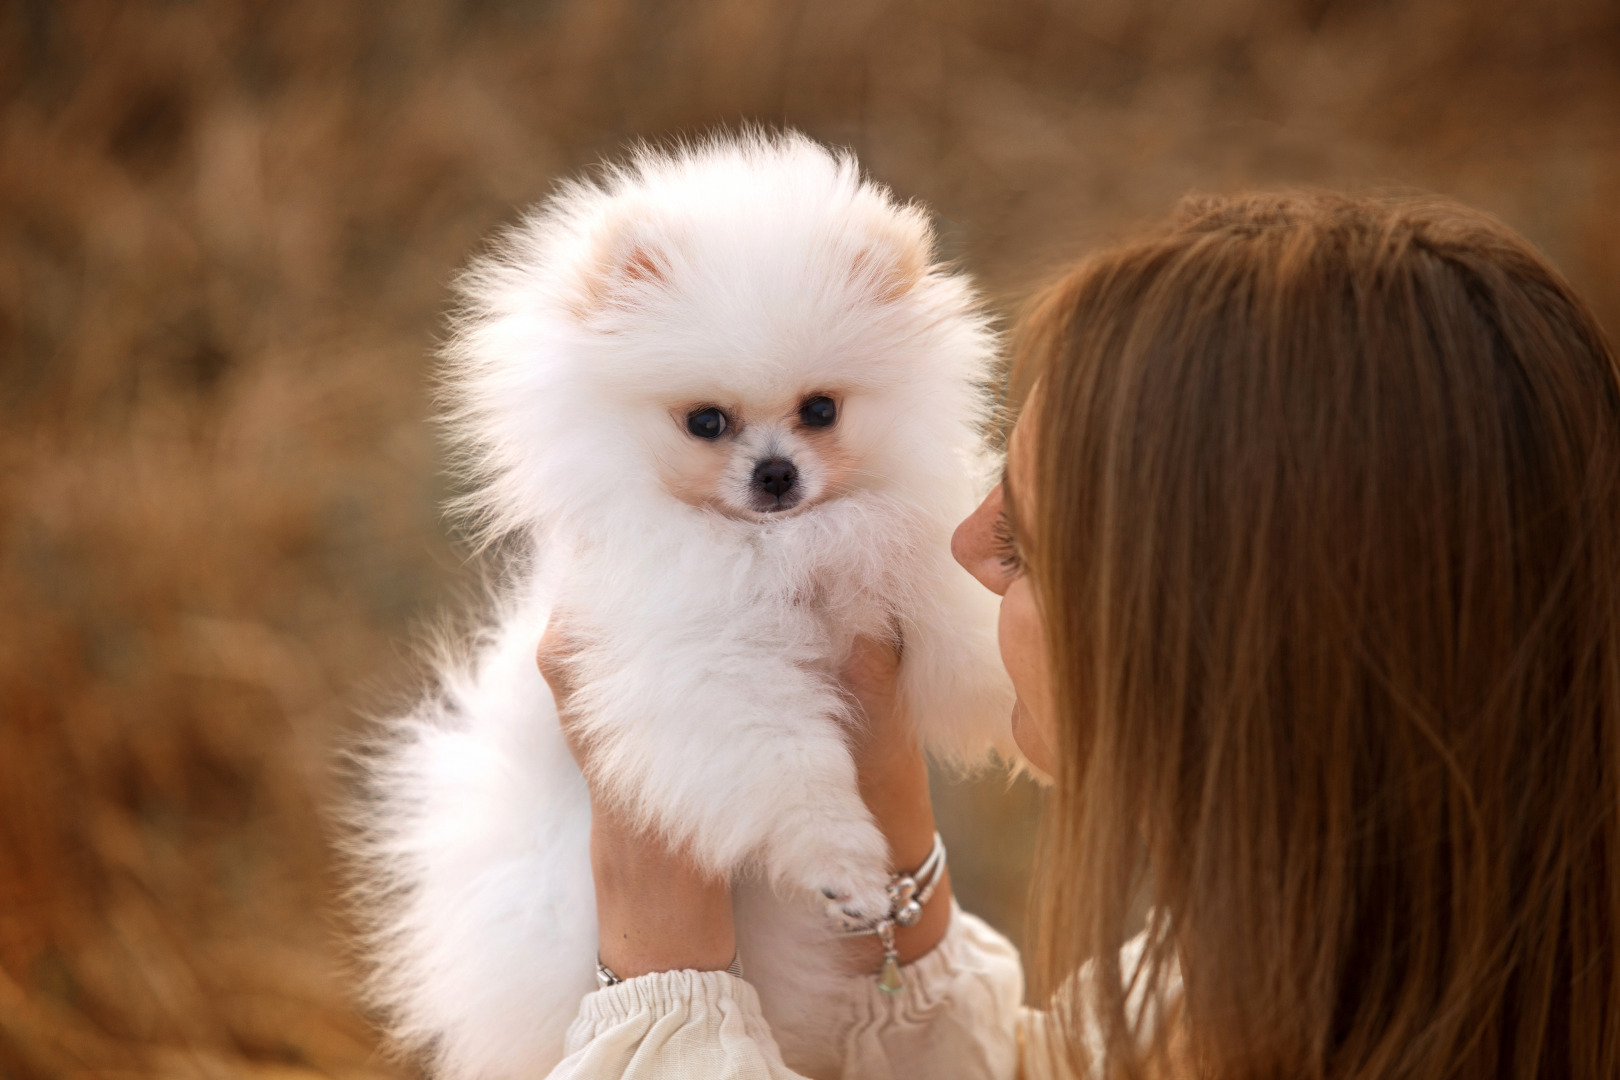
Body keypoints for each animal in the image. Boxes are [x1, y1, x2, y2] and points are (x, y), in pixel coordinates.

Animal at [358, 132, 1010, 1080]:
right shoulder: (703, 669)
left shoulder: (906, 570)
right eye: (706, 422)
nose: (775, 474)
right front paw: (847, 868)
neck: (774, 546)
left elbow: (975, 634)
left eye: (821, 409)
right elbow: (795, 773)